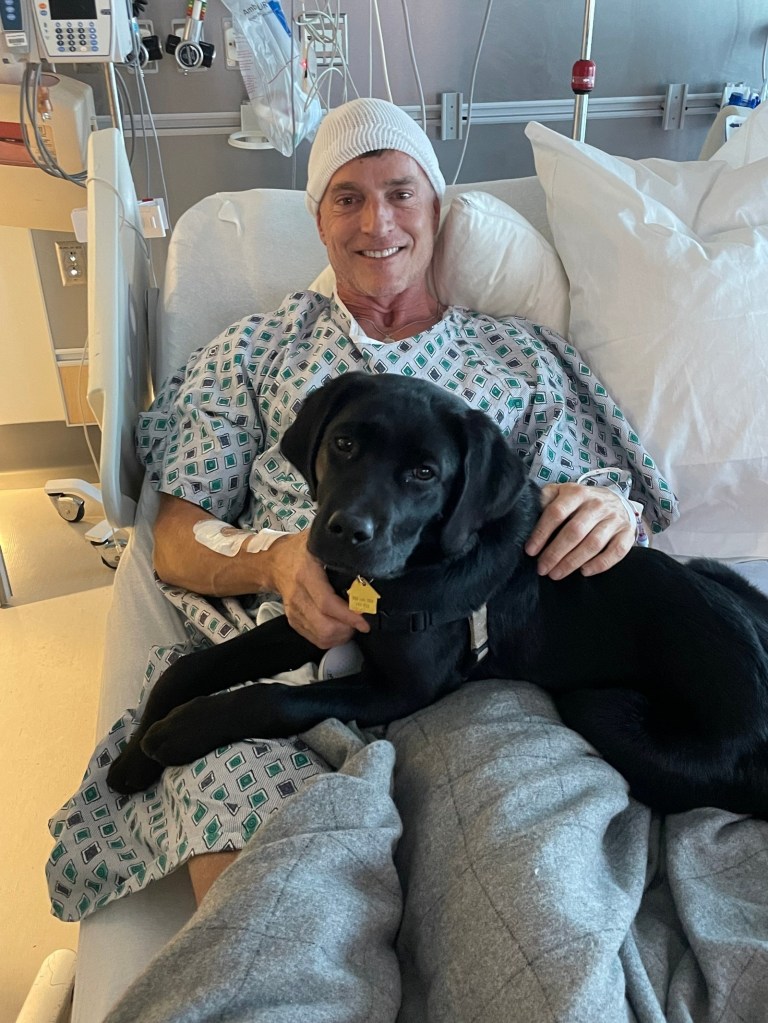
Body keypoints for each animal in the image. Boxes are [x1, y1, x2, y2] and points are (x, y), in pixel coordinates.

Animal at [108, 372, 768, 810]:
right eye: (344, 443)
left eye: (426, 474)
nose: (348, 532)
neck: (409, 572)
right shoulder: (317, 616)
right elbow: (193, 668)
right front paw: (134, 753)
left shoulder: (405, 688)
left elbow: (277, 698)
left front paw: (178, 733)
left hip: (598, 707)